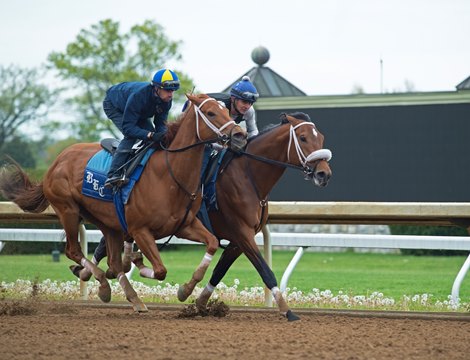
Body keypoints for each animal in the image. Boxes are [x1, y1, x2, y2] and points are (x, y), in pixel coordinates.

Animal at [0, 93, 248, 312]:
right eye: (211, 112)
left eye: (228, 112)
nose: (240, 135)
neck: (169, 176)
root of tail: (56, 162)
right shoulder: (140, 229)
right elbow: (160, 270)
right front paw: (139, 261)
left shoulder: (184, 225)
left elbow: (212, 243)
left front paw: (185, 289)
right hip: (68, 211)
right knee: (74, 251)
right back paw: (104, 284)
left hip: (107, 223)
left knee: (113, 262)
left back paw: (131, 297)